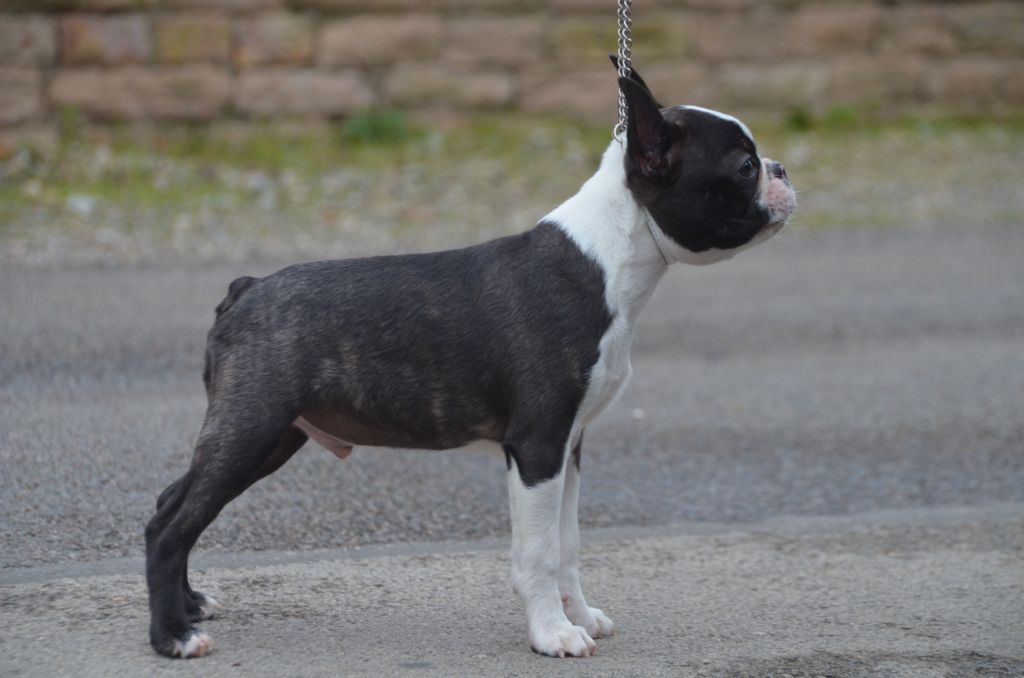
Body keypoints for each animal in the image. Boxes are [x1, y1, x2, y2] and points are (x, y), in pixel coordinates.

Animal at [145, 62, 796, 659]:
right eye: (744, 166)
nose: (782, 168)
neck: (608, 261)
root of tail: (247, 289)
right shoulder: (536, 446)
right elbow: (538, 551)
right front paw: (553, 635)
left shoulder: (569, 447)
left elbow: (569, 543)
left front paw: (581, 617)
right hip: (252, 426)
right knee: (170, 526)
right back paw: (173, 636)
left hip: (272, 435)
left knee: (171, 501)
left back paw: (191, 604)